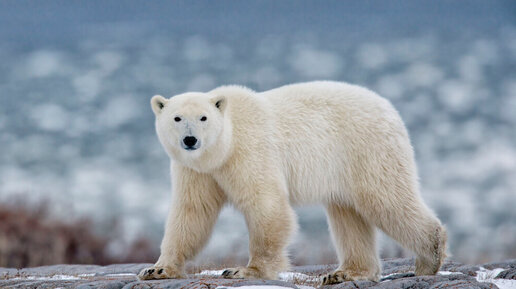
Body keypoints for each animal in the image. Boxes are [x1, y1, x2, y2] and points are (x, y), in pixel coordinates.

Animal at [139, 79, 446, 284]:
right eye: (177, 118)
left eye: (203, 118)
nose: (190, 140)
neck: (224, 146)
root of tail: (390, 109)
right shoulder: (196, 171)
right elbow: (192, 213)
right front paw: (157, 269)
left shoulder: (249, 151)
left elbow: (266, 205)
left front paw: (244, 270)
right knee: (348, 215)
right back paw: (345, 272)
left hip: (367, 150)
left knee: (386, 200)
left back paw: (429, 258)